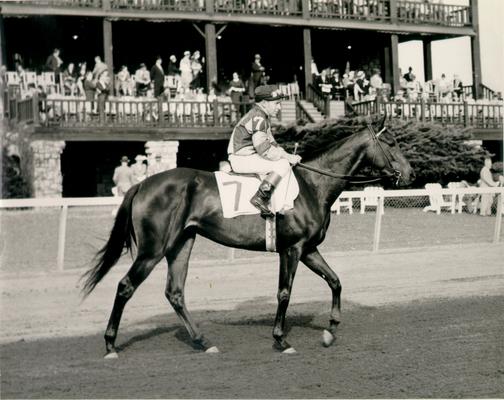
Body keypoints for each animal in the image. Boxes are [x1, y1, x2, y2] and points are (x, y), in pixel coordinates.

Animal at [81, 114, 414, 358]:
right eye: (391, 143)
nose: (410, 174)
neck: (312, 185)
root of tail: (142, 184)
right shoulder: (292, 250)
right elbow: (284, 293)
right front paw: (280, 340)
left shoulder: (308, 249)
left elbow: (335, 281)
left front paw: (331, 329)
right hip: (153, 249)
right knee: (126, 286)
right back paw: (110, 344)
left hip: (181, 244)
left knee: (174, 292)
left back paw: (203, 341)